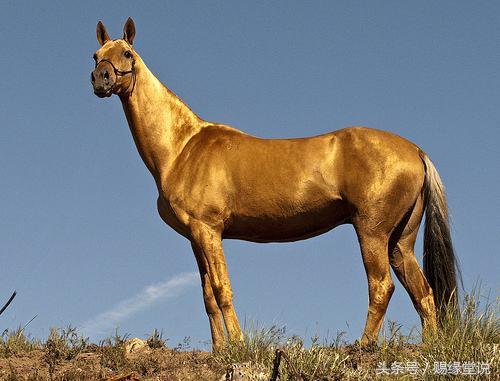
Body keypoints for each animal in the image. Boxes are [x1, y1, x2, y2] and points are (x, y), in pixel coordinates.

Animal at [91, 17, 460, 350]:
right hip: (400, 241)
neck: (183, 147)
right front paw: (219, 350)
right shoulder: (195, 237)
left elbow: (223, 290)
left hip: (372, 232)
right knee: (422, 292)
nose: (100, 79)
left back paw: (362, 345)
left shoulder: (209, 230)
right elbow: (208, 296)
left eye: (127, 53)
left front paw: (238, 346)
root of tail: (416, 151)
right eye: (96, 55)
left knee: (382, 286)